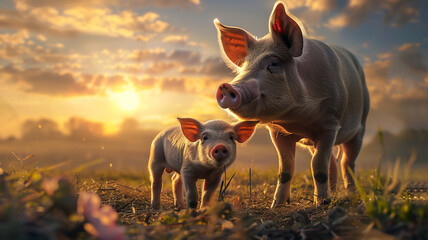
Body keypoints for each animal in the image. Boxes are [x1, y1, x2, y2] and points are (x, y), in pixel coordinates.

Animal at [216, 0, 370, 206]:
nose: (226, 86)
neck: (296, 120)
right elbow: (286, 168)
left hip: (361, 126)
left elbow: (318, 166)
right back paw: (334, 194)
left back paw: (351, 196)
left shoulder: (330, 123)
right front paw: (276, 205)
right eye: (244, 66)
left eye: (273, 64)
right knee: (333, 162)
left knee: (348, 162)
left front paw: (321, 204)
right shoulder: (278, 131)